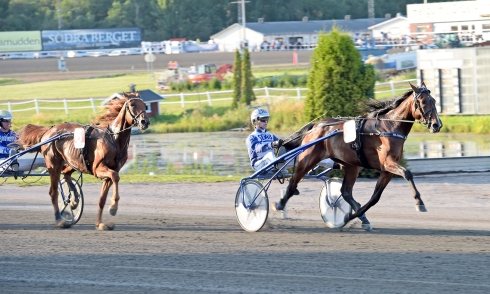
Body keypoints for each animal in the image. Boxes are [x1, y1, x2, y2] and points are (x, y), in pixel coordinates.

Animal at [16, 92, 149, 230]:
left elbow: (102, 197)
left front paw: (100, 223)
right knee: (53, 192)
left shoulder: (110, 171)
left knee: (66, 174)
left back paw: (74, 200)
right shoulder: (98, 169)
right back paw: (59, 220)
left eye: (145, 105)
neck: (114, 138)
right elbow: (115, 176)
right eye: (132, 104)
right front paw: (113, 208)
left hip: (73, 162)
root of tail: (48, 131)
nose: (145, 122)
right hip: (53, 165)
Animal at [276, 83, 444, 230]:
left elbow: (375, 197)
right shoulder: (388, 163)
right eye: (423, 101)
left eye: (434, 101)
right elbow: (407, 174)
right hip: (308, 159)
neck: (389, 126)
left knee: (345, 191)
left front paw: (354, 215)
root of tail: (316, 126)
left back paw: (358, 215)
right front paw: (419, 202)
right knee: (293, 182)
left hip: (351, 165)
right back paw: (280, 203)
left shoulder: (387, 170)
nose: (437, 125)